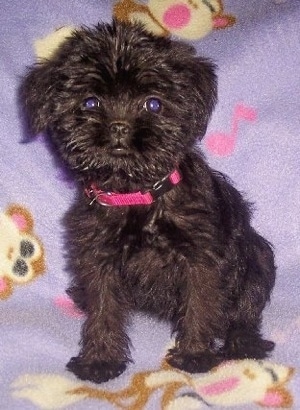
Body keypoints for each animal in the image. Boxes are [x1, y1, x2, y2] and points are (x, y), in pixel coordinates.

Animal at [19, 20, 276, 382]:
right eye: (90, 103)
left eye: (153, 104)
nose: (119, 127)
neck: (135, 194)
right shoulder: (98, 257)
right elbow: (103, 309)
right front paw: (100, 359)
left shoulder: (201, 257)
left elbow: (200, 304)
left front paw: (195, 354)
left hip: (257, 256)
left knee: (246, 309)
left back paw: (243, 342)